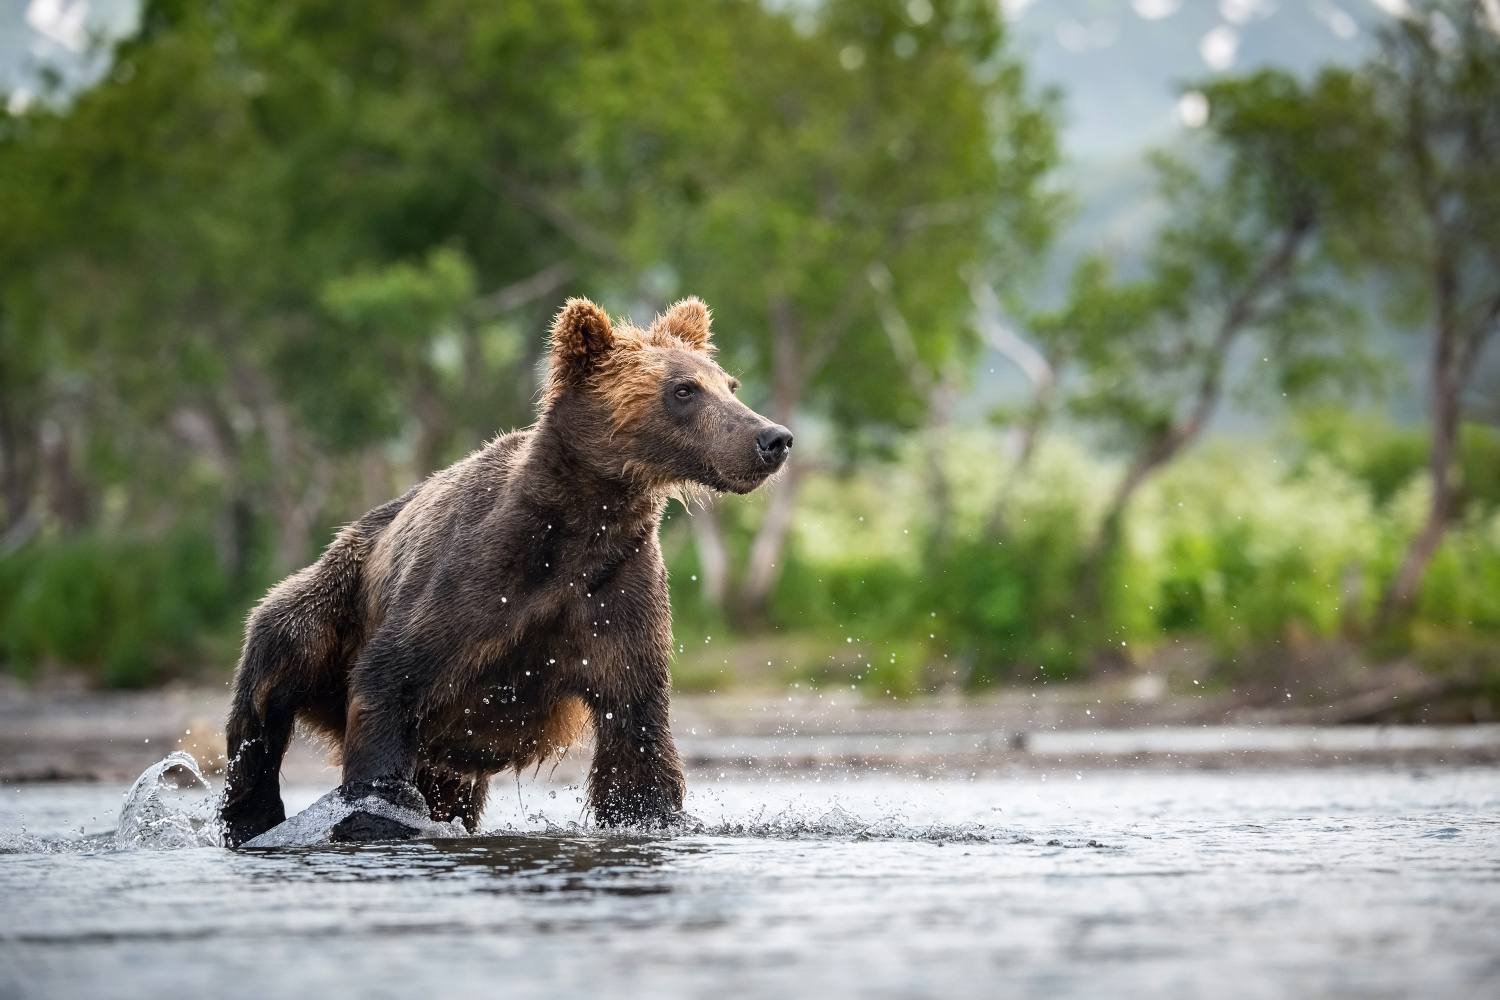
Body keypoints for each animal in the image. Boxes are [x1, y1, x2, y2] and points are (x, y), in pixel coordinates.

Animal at [219, 296, 798, 845]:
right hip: (329, 602)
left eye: (729, 384)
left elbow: (636, 734)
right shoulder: (470, 584)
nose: (774, 438)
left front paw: (651, 814)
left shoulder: (615, 595)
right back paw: (253, 818)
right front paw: (379, 809)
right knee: (268, 689)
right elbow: (388, 683)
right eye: (683, 390)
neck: (575, 534)